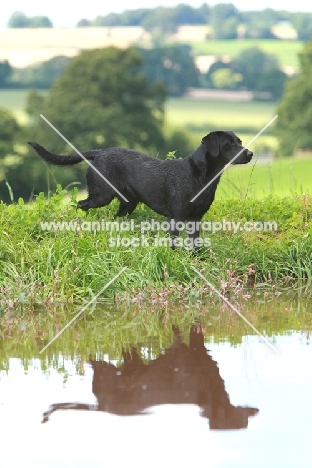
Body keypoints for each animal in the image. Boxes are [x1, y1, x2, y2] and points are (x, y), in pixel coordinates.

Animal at [28, 131, 254, 247]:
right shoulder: (176, 217)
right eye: (229, 144)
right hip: (101, 195)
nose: (250, 153)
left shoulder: (196, 219)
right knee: (79, 205)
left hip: (128, 203)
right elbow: (173, 243)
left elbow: (195, 244)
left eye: (239, 141)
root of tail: (100, 152)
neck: (201, 176)